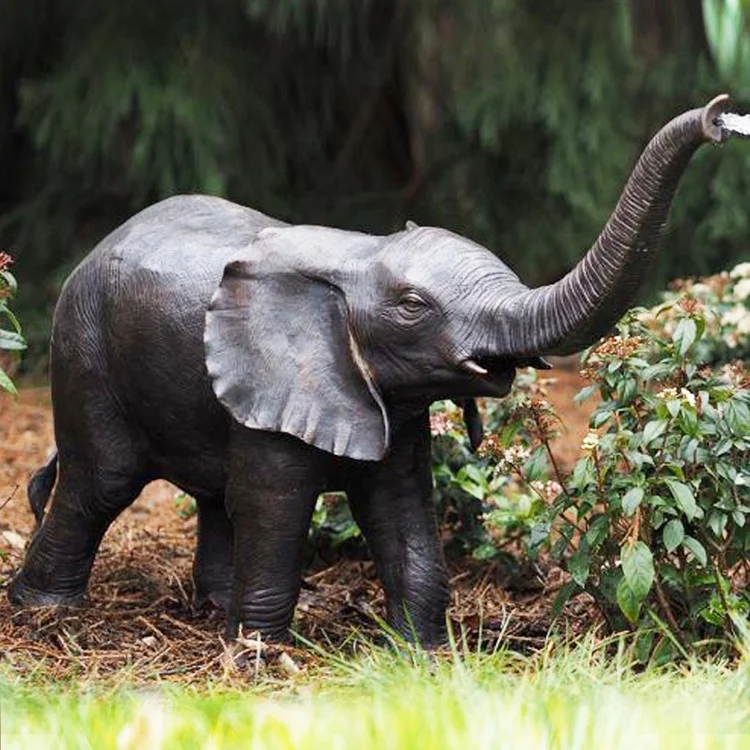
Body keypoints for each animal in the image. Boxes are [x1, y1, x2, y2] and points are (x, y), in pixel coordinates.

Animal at [8, 94, 741, 646]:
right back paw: (45, 611)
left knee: (212, 494)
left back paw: (211, 608)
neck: (358, 256)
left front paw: (421, 654)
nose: (720, 117)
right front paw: (260, 660)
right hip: (85, 349)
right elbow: (276, 508)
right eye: (414, 307)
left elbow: (400, 507)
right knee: (102, 483)